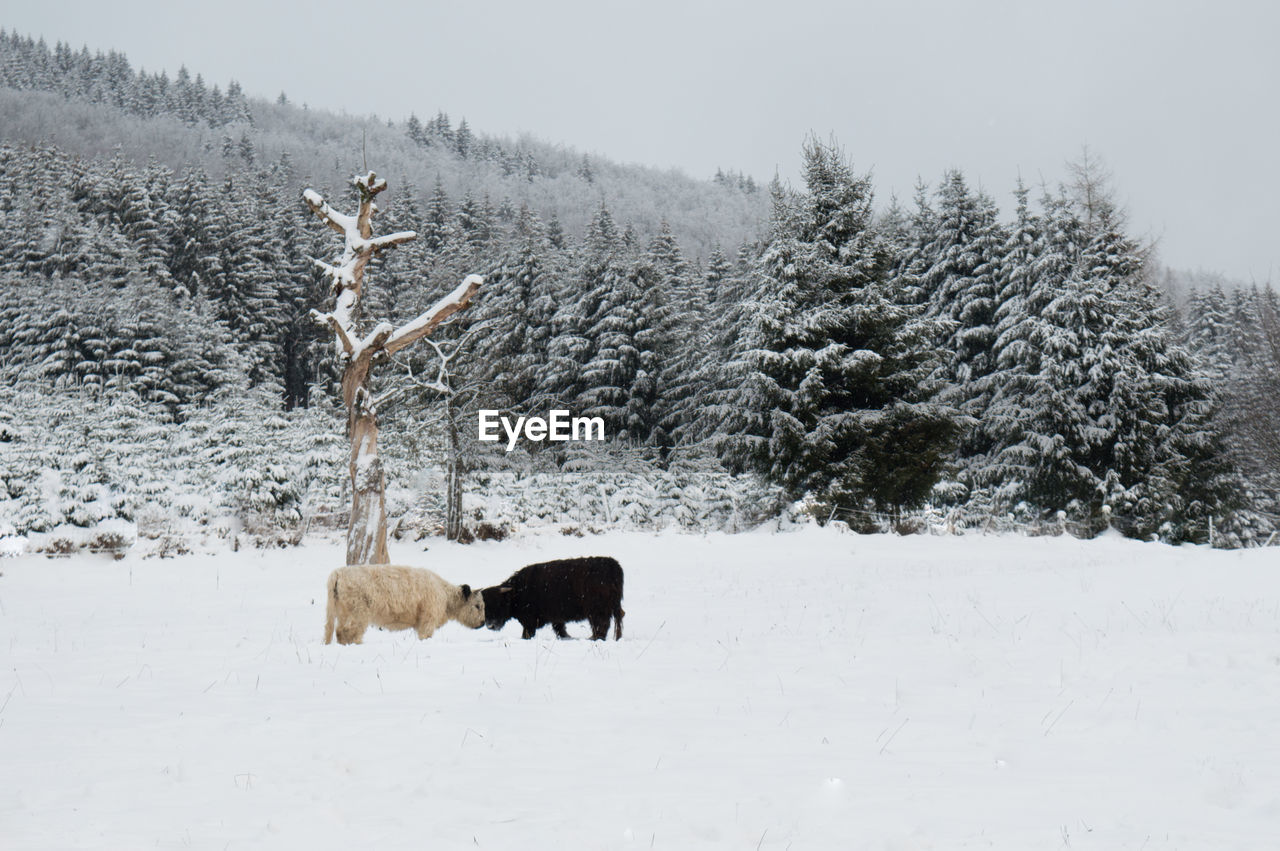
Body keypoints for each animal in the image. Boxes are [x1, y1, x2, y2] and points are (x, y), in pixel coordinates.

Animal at [322, 563, 486, 644]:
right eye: (477, 605)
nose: (483, 623)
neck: (444, 595)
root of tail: (338, 572)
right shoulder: (427, 620)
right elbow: (425, 636)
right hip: (359, 613)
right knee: (349, 632)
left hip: (342, 612)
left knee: (338, 631)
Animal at [481, 557, 624, 637]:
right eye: (484, 606)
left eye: (499, 603)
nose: (490, 625)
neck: (517, 592)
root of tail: (612, 565)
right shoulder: (557, 618)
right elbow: (560, 630)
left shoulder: (530, 621)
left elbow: (527, 633)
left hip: (597, 610)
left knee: (601, 625)